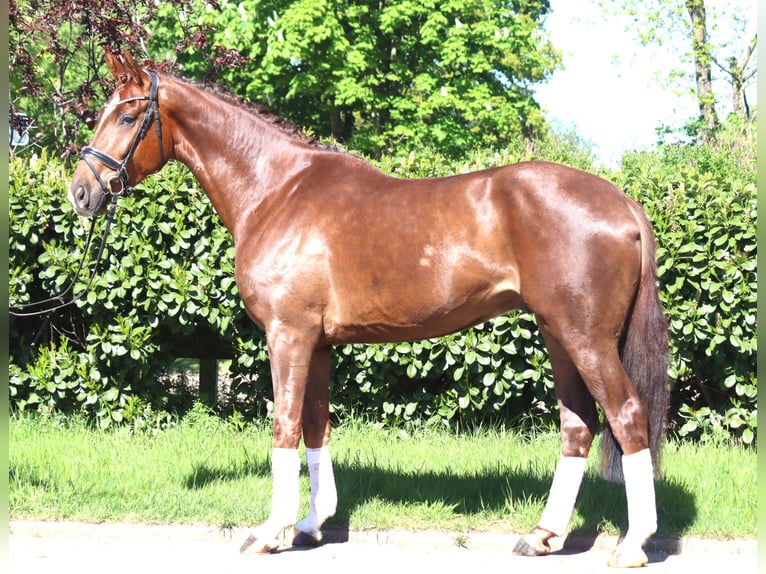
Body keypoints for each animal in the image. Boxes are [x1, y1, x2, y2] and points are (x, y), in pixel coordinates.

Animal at [69, 50, 669, 568]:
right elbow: (316, 425)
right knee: (578, 424)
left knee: (626, 415)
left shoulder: (287, 334)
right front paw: (311, 525)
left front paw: (270, 532)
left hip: (586, 338)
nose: (80, 192)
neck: (277, 191)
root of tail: (622, 202)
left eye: (127, 115)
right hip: (557, 335)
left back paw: (632, 545)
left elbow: (285, 424)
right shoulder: (317, 343)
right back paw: (543, 536)